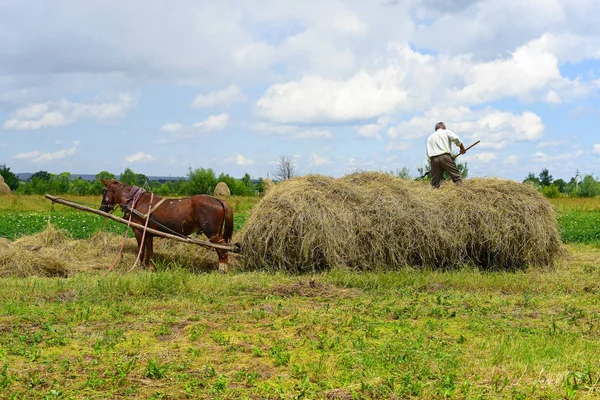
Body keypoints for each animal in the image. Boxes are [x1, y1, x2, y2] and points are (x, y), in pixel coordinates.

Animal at [99, 180, 233, 274]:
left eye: (104, 192)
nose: (101, 209)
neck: (136, 201)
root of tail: (219, 200)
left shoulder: (139, 231)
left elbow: (141, 251)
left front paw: (141, 267)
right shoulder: (148, 234)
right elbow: (150, 252)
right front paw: (151, 268)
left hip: (212, 233)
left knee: (221, 249)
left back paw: (222, 269)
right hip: (217, 232)